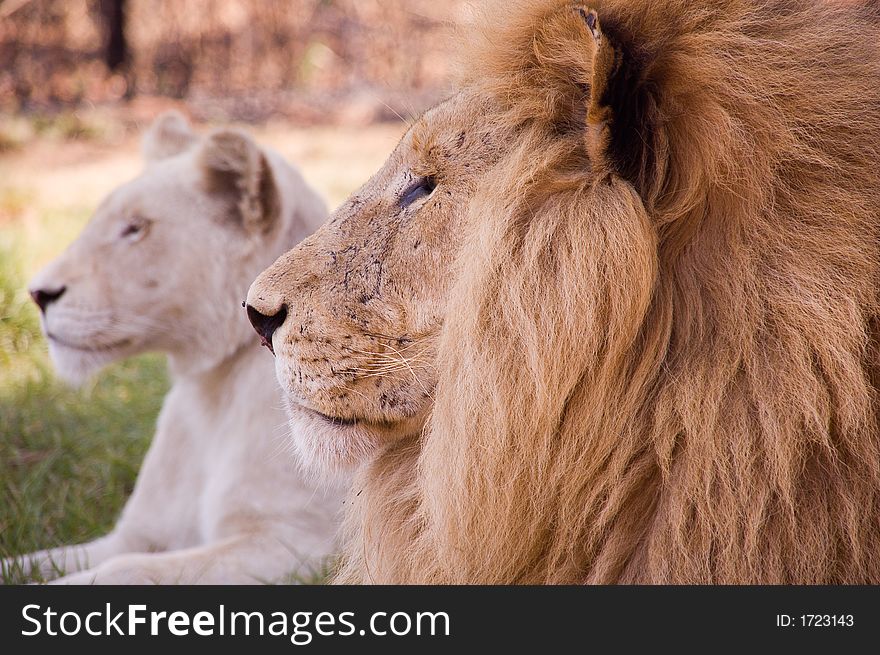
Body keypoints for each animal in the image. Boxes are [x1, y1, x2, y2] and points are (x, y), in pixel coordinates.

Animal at [6, 111, 344, 584]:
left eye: (135, 228)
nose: (37, 294)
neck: (211, 392)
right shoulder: (137, 532)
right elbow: (41, 561)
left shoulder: (296, 547)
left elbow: (125, 570)